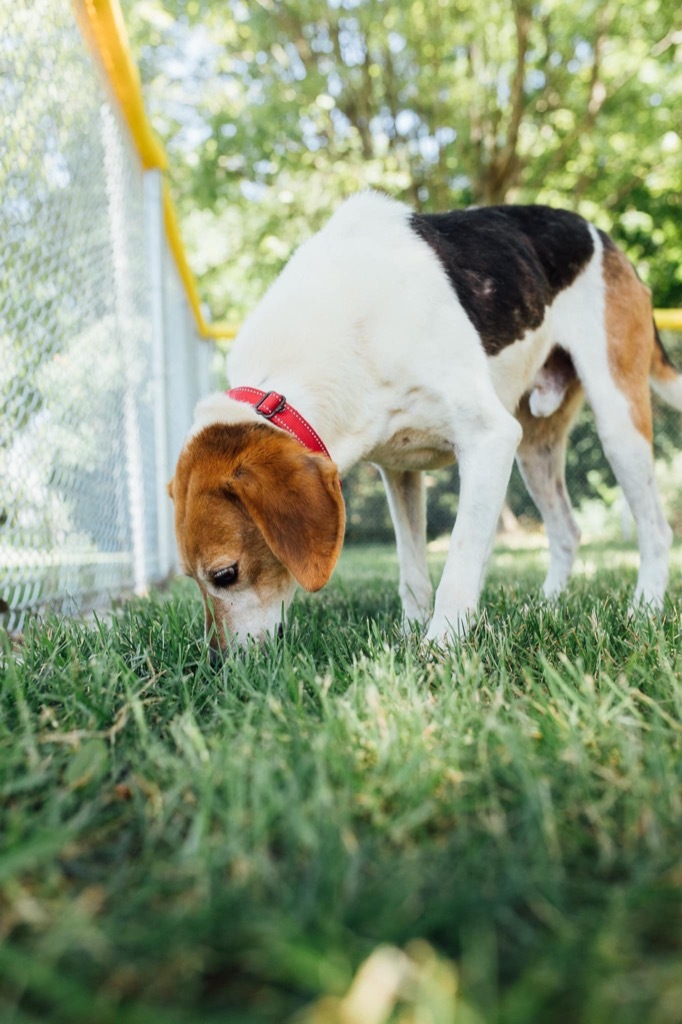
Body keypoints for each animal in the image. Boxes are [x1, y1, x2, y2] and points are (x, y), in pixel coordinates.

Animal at [166, 189, 675, 651]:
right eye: (191, 578)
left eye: (225, 574)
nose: (218, 664)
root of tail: (602, 236)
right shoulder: (400, 470)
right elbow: (413, 573)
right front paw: (412, 635)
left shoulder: (490, 440)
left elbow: (459, 565)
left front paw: (440, 647)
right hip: (534, 448)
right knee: (567, 531)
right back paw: (545, 607)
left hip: (617, 423)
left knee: (656, 530)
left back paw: (645, 610)